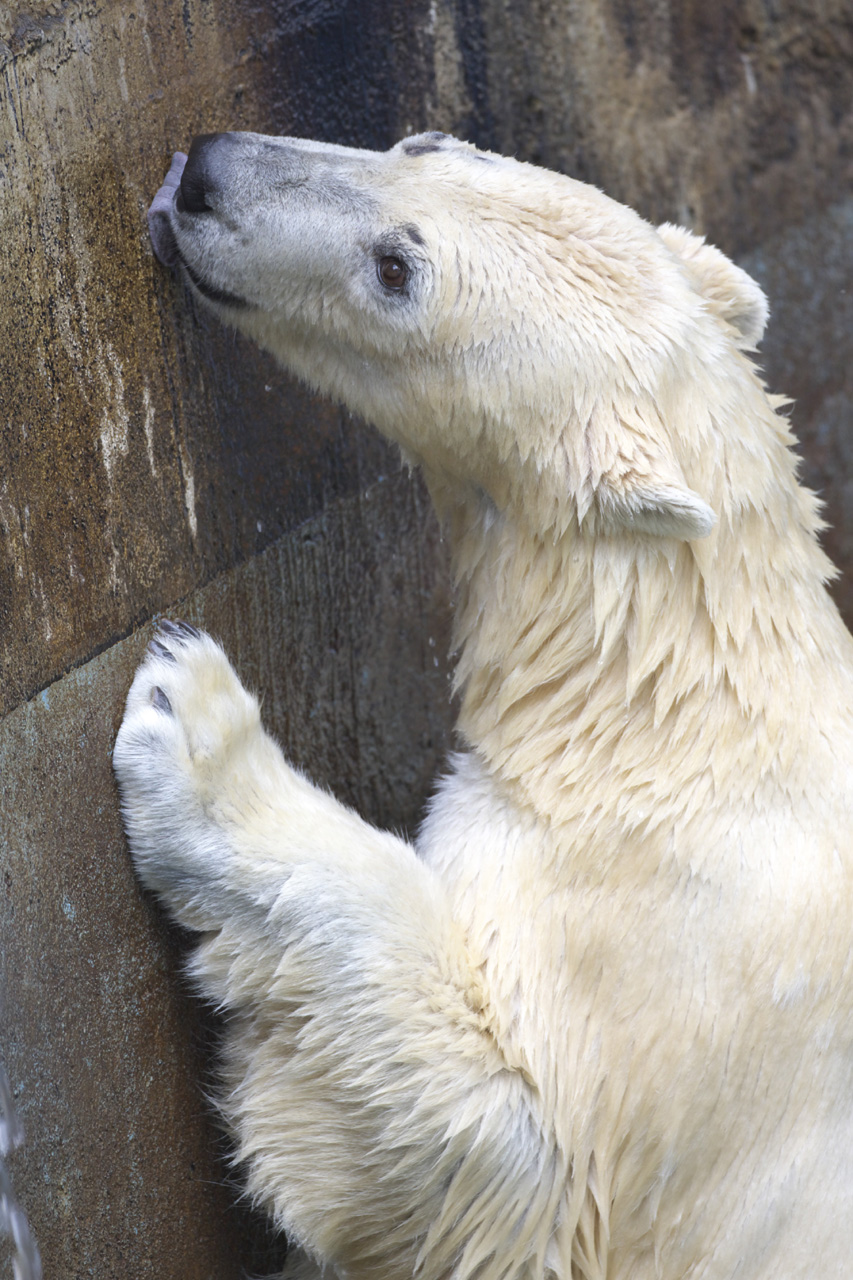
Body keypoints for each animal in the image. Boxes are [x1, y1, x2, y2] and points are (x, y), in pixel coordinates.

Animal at [112, 132, 850, 1280]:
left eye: (396, 271)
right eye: (427, 143)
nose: (208, 172)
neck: (654, 702)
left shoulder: (645, 1000)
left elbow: (496, 1157)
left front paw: (198, 727)